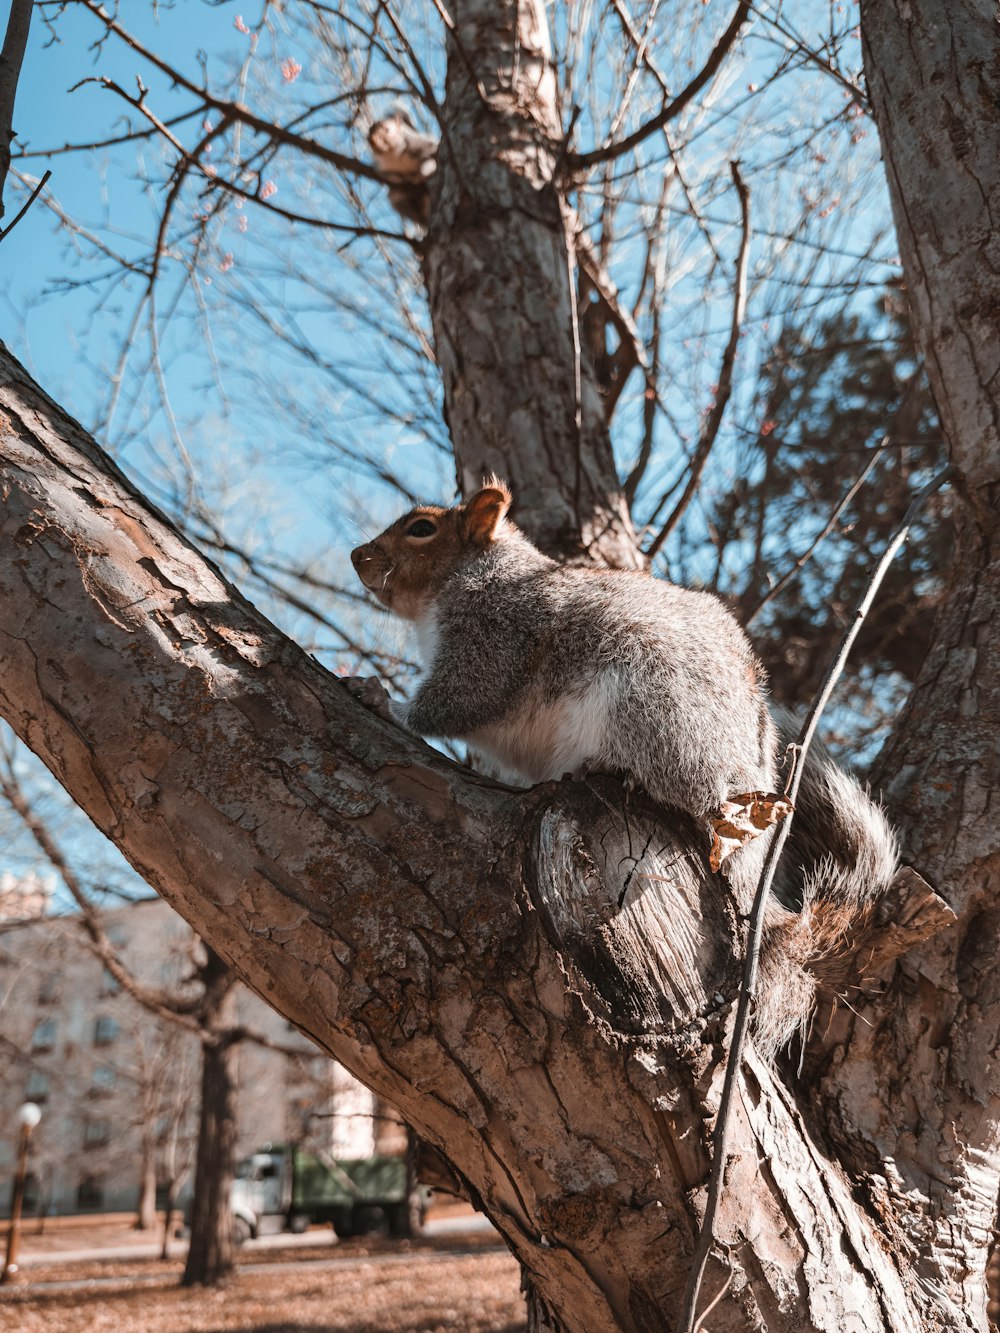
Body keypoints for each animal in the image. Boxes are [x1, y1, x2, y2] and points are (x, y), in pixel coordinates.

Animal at [349, 479, 896, 1050]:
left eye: (422, 528)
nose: (356, 557)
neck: (472, 576)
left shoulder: (494, 634)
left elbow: (458, 699)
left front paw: (383, 699)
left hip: (653, 705)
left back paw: (614, 770)